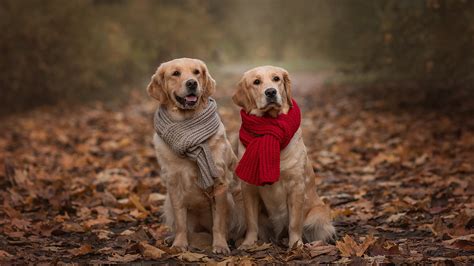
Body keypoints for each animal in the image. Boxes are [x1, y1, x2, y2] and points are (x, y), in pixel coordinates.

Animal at [147, 57, 244, 254]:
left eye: (196, 72)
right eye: (175, 73)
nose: (192, 83)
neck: (188, 124)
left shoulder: (220, 183)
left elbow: (218, 222)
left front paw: (220, 245)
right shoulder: (174, 184)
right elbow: (181, 222)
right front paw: (179, 244)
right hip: (167, 202)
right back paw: (171, 238)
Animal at [231, 65, 336, 248]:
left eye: (276, 79)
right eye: (256, 82)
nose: (271, 92)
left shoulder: (296, 186)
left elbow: (294, 222)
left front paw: (296, 245)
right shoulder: (248, 187)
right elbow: (251, 221)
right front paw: (248, 243)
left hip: (319, 214)